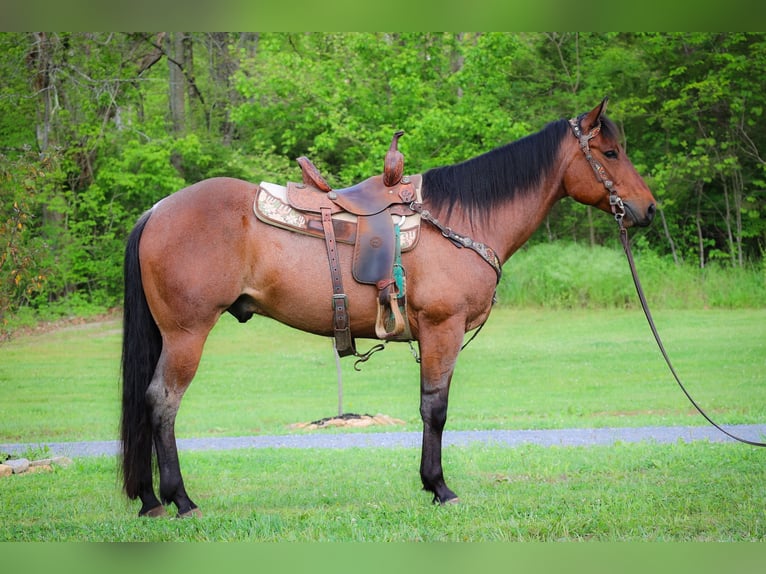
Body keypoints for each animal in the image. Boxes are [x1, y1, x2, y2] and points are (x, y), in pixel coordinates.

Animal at [121, 97, 660, 520]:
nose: (649, 209)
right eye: (610, 152)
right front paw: (439, 487)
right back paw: (180, 500)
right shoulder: (443, 330)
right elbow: (434, 409)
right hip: (187, 334)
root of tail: (157, 210)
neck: (459, 221)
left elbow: (430, 407)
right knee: (162, 402)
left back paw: (150, 499)